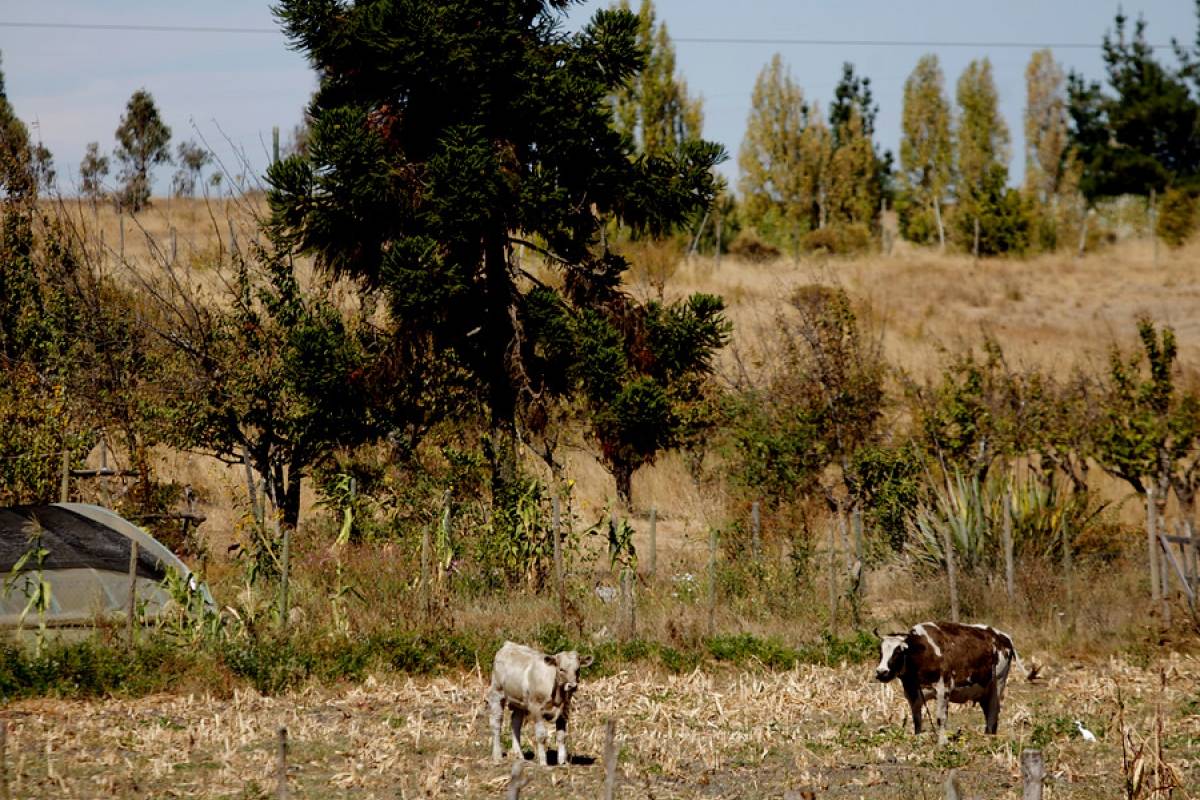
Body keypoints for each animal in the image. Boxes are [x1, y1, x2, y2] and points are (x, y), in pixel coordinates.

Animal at [878, 623, 1036, 743]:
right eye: (880, 652)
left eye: (898, 652)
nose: (881, 672)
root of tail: (1002, 636)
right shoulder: (913, 694)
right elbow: (917, 719)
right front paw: (917, 740)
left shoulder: (944, 689)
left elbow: (941, 718)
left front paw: (942, 743)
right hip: (983, 690)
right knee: (989, 712)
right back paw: (988, 734)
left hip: (998, 683)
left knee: (993, 711)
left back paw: (988, 739)